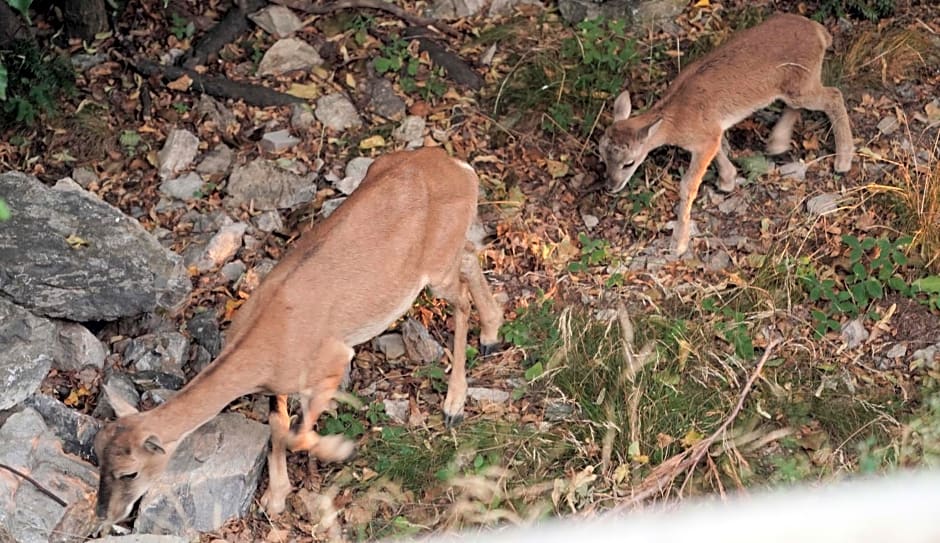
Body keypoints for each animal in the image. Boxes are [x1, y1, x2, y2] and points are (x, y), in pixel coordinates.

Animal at [93, 147, 506, 528]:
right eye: (97, 455)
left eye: (129, 471)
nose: (104, 515)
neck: (262, 347)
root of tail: (463, 169)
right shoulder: (279, 383)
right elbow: (278, 427)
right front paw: (275, 497)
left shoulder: (334, 359)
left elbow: (296, 433)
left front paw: (341, 450)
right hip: (444, 253)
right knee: (470, 257)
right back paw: (491, 334)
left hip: (435, 267)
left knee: (461, 298)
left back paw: (454, 404)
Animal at [600, 13, 856, 256]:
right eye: (602, 157)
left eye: (629, 163)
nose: (610, 186)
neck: (676, 120)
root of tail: (820, 32)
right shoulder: (712, 131)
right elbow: (720, 149)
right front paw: (727, 180)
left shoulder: (704, 137)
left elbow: (688, 184)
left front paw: (679, 244)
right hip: (797, 85)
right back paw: (777, 144)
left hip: (803, 83)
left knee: (834, 95)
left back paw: (842, 162)